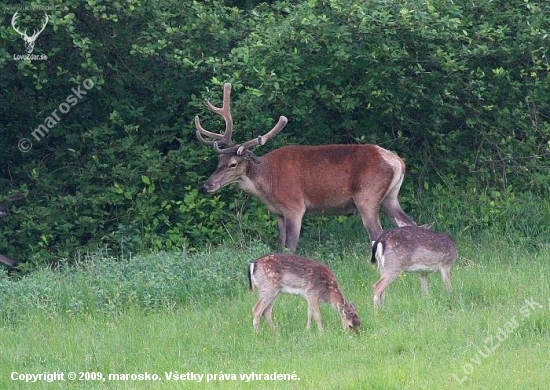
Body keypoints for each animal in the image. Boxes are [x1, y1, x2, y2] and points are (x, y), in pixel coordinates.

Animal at [196, 83, 416, 251]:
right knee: (409, 223)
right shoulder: (279, 214)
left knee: (377, 233)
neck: (267, 183)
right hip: (390, 197)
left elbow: (291, 247)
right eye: (218, 162)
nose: (207, 185)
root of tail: (398, 162)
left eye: (232, 164)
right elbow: (280, 246)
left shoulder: (294, 207)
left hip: (367, 196)